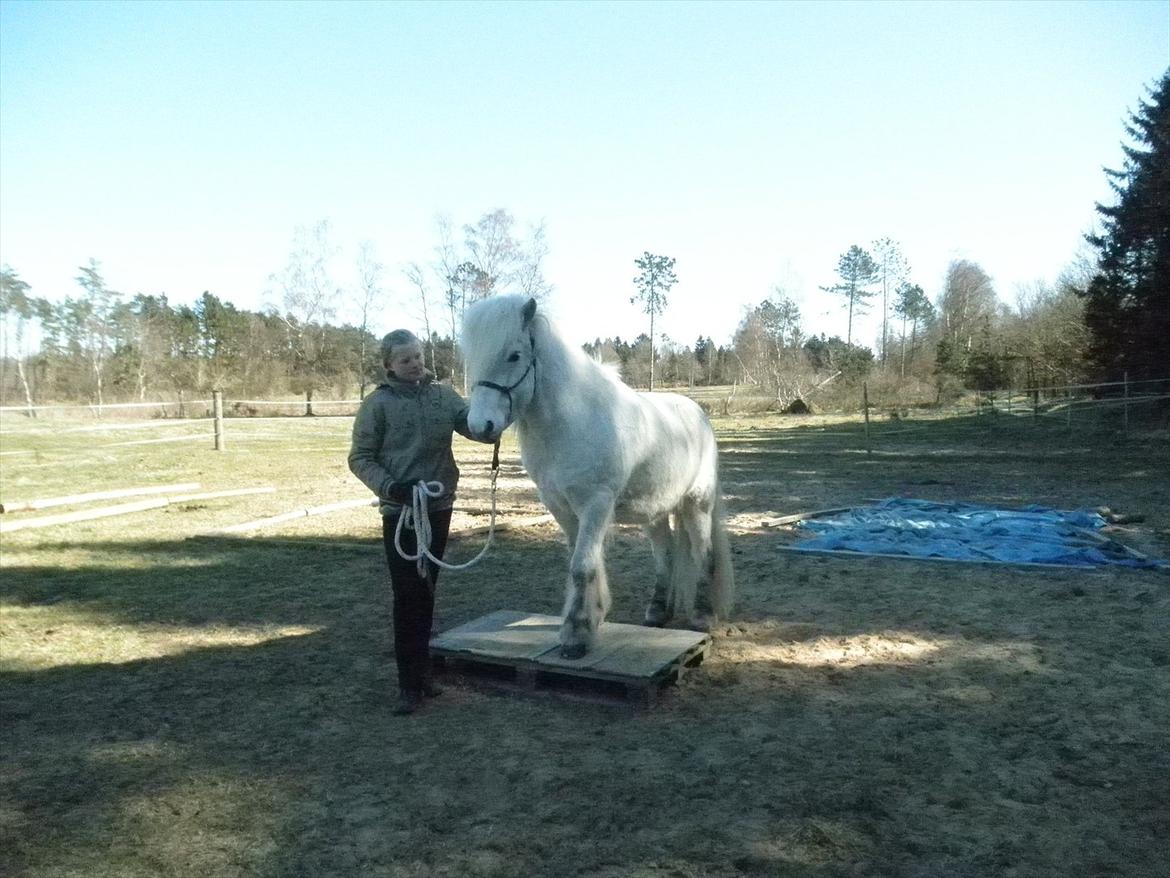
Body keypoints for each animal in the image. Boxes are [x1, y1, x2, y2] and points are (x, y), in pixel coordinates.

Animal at [458, 297, 725, 660]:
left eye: (514, 355)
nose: (480, 426)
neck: (572, 421)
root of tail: (698, 414)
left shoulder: (596, 503)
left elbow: (582, 566)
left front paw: (576, 634)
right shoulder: (561, 506)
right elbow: (580, 562)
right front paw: (588, 619)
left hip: (697, 502)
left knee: (703, 550)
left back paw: (702, 615)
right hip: (654, 510)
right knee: (665, 553)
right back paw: (657, 611)